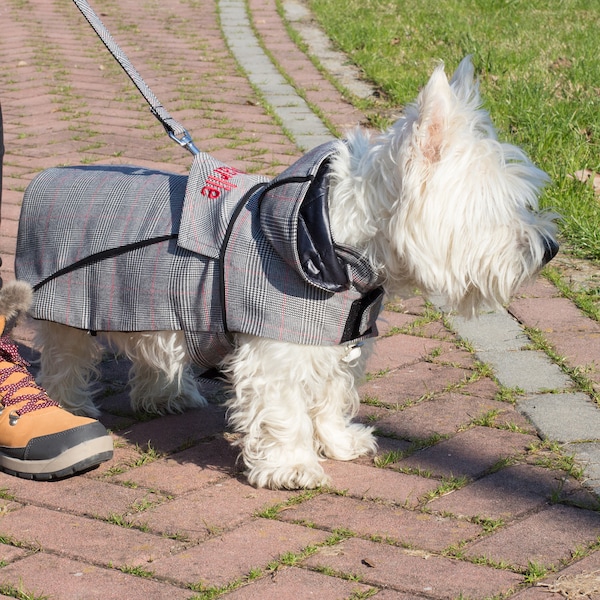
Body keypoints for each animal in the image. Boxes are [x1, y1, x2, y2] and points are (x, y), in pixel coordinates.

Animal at [15, 56, 556, 488]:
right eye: (496, 204)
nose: (550, 248)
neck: (328, 240)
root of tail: (46, 177)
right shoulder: (275, 350)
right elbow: (285, 411)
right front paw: (291, 466)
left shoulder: (338, 341)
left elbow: (332, 395)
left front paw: (339, 442)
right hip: (67, 303)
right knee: (65, 358)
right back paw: (69, 410)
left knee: (152, 351)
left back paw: (165, 395)